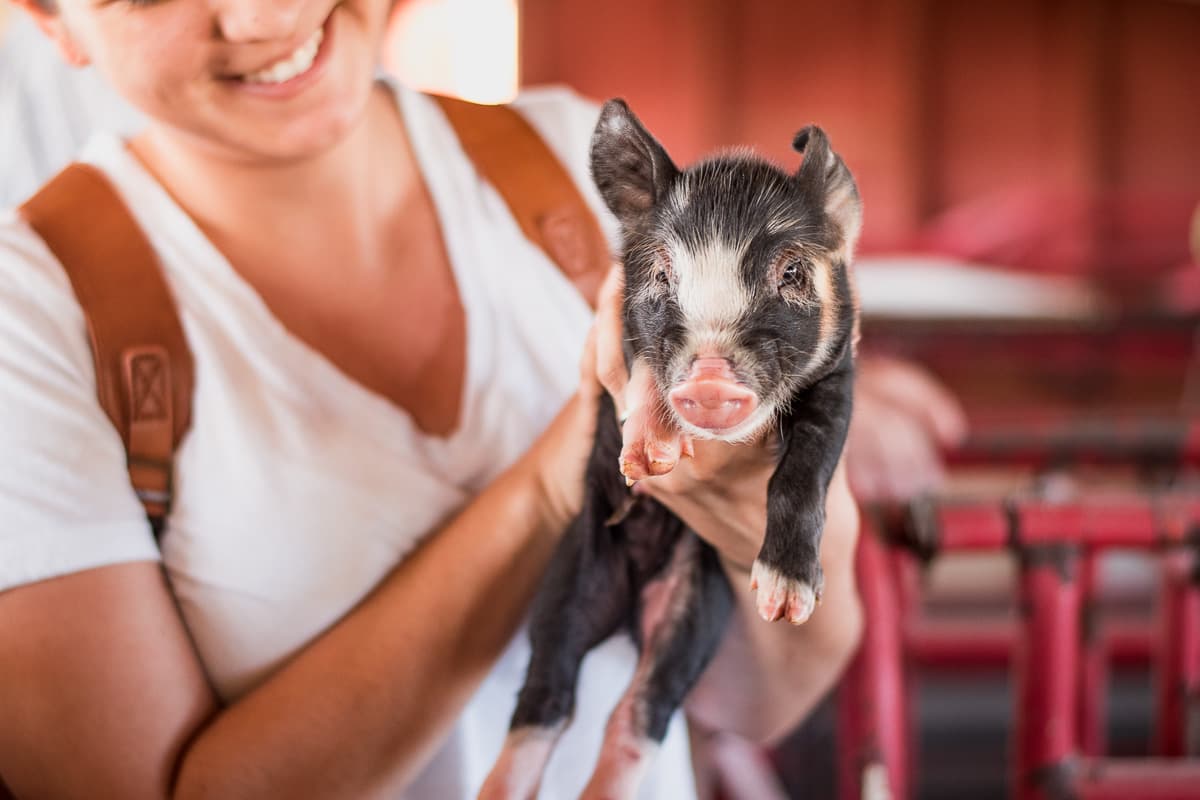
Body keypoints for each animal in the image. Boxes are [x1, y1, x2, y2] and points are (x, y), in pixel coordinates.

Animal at [479, 98, 863, 800]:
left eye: (793, 272)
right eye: (660, 273)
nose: (709, 376)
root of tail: (628, 605)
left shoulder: (839, 374)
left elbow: (807, 468)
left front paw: (785, 602)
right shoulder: (617, 323)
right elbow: (639, 374)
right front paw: (646, 458)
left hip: (696, 606)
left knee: (641, 709)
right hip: (573, 573)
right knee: (547, 695)